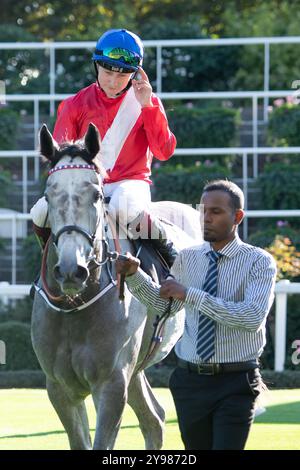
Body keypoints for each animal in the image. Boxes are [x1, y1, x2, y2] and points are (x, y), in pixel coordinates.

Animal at [31, 123, 202, 450]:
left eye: (97, 195)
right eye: (49, 194)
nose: (71, 270)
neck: (75, 308)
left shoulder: (111, 384)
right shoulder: (59, 388)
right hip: (134, 371)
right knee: (154, 418)